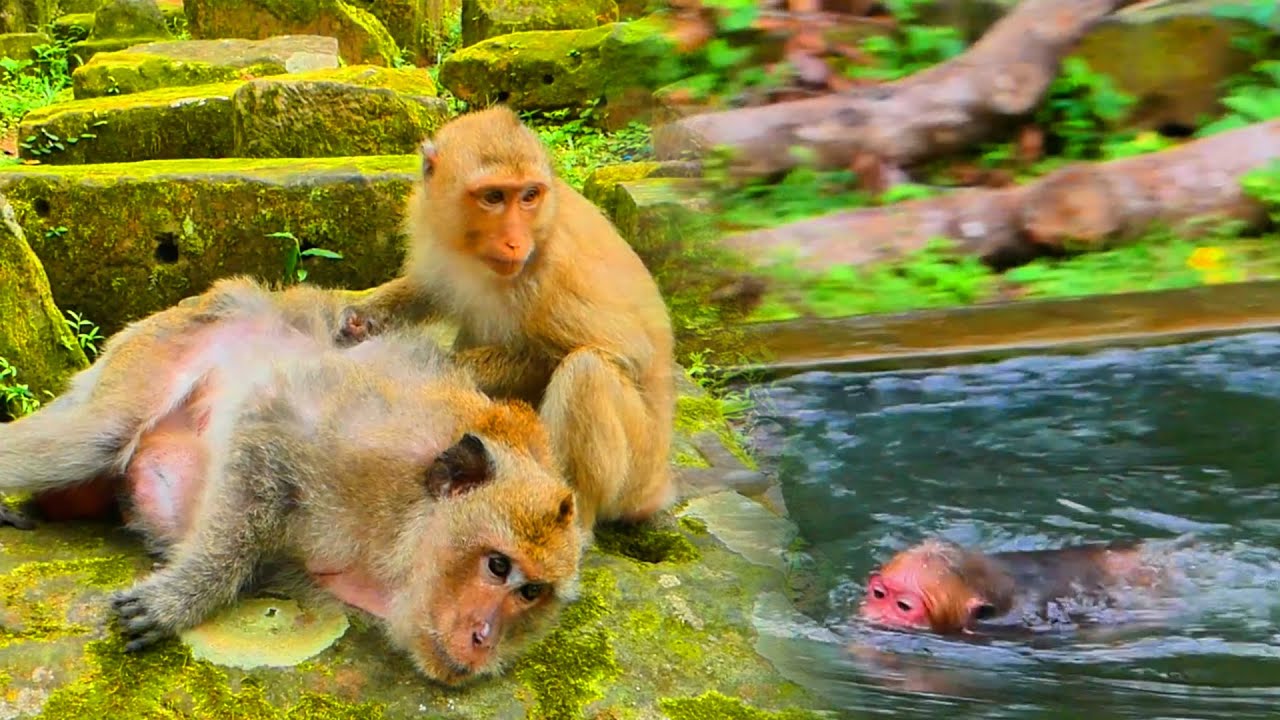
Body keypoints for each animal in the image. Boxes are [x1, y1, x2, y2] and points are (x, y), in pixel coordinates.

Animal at [0, 277, 583, 685]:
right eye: (497, 565)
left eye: (531, 591)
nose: (486, 637)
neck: (409, 531)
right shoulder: (374, 446)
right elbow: (266, 434)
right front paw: (181, 599)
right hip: (162, 349)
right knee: (96, 434)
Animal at [344, 106, 678, 533]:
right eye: (493, 197)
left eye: (529, 195)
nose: (516, 243)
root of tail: (658, 485)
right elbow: (430, 287)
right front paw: (360, 319)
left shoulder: (554, 269)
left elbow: (624, 352)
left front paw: (432, 365)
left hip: (637, 469)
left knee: (587, 370)